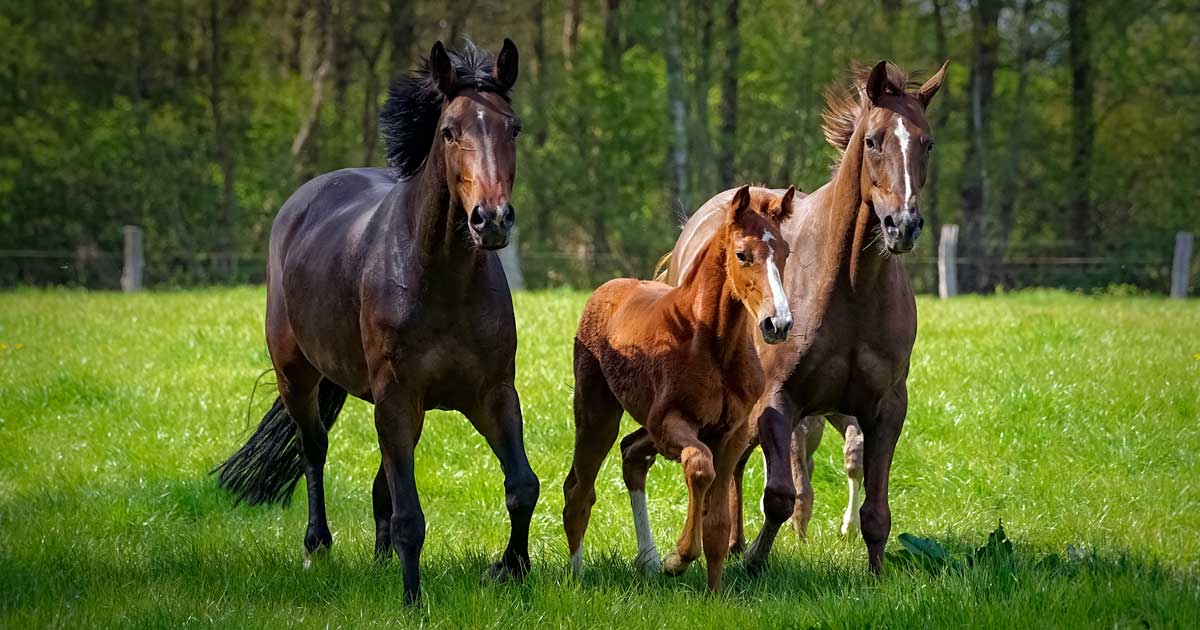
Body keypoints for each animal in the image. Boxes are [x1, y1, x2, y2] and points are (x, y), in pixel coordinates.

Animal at [213, 40, 537, 604]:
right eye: (449, 130)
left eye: (512, 128)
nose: (491, 220)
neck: (441, 279)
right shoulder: (397, 396)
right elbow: (411, 515)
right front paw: (412, 599)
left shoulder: (492, 394)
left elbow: (521, 486)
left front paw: (510, 570)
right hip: (298, 375)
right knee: (313, 449)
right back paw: (317, 545)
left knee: (381, 479)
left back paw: (381, 558)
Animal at [564, 184, 796, 592]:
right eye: (742, 254)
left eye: (784, 252)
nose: (777, 323)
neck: (711, 343)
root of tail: (606, 288)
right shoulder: (669, 423)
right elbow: (700, 466)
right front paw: (678, 558)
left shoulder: (732, 433)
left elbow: (718, 522)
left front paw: (714, 593)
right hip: (596, 415)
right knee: (579, 489)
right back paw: (578, 575)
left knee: (628, 459)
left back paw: (646, 560)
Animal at [657, 60, 945, 573]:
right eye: (873, 141)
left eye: (926, 142)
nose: (903, 226)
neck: (850, 288)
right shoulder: (778, 402)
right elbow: (779, 496)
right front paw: (754, 562)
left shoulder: (886, 407)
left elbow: (876, 509)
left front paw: (876, 574)